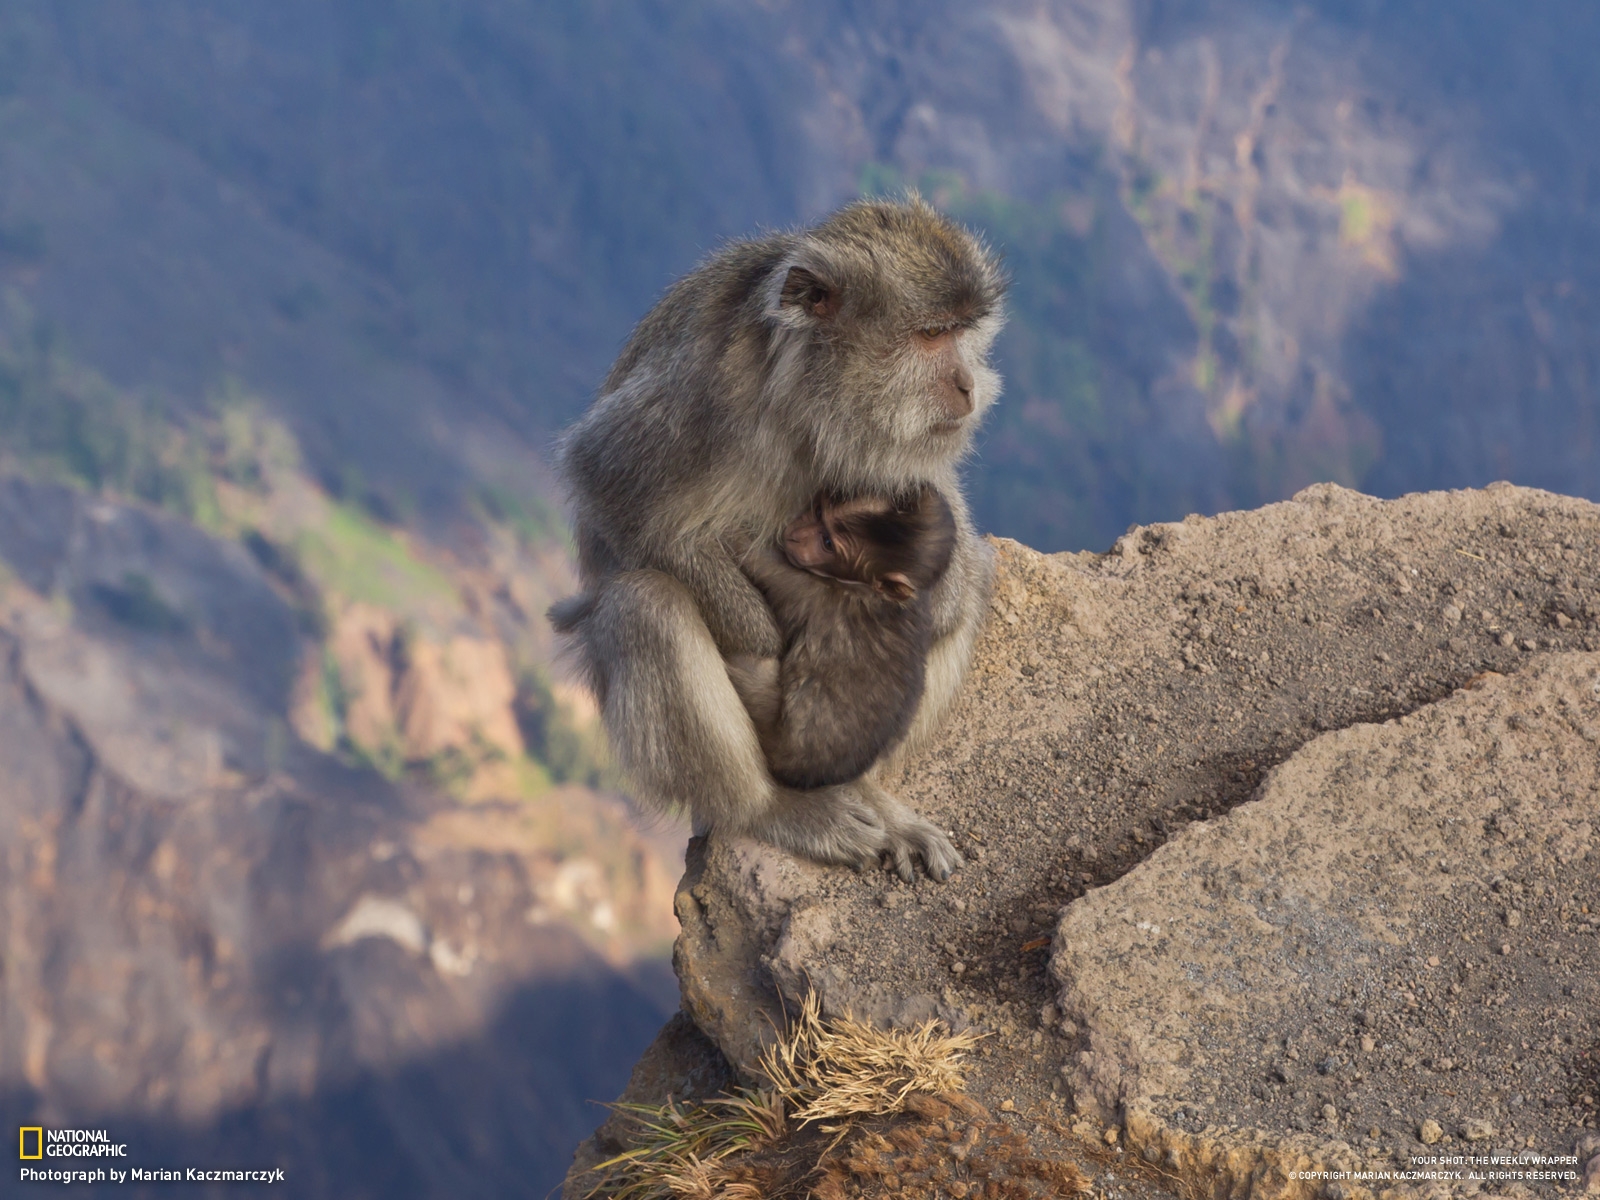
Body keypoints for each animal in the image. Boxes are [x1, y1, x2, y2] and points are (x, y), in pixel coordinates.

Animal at [732, 483, 953, 793]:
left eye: (827, 543)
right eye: (818, 511)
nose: (795, 535)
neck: (870, 591)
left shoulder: (814, 591)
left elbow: (761, 563)